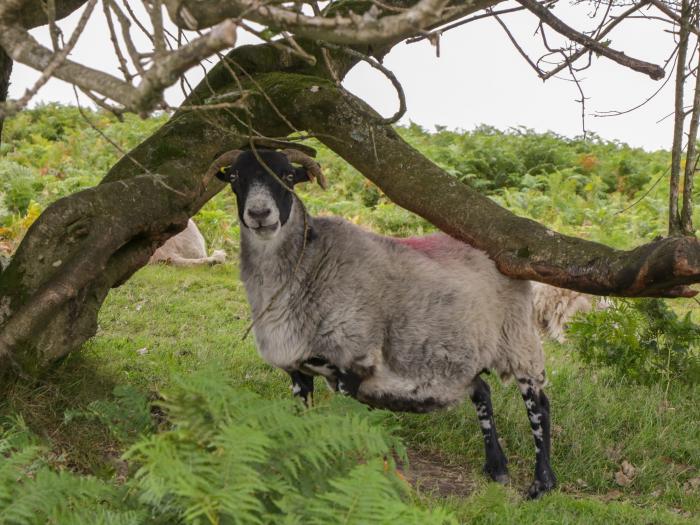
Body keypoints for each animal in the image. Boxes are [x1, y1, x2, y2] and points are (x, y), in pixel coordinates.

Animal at [213, 148, 556, 500]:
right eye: (236, 177)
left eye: (287, 175)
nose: (259, 214)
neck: (310, 264)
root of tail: (503, 256)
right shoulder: (299, 370)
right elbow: (302, 419)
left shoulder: (351, 363)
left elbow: (343, 421)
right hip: (462, 353)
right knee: (483, 392)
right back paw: (496, 469)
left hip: (518, 340)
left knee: (539, 404)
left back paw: (541, 484)